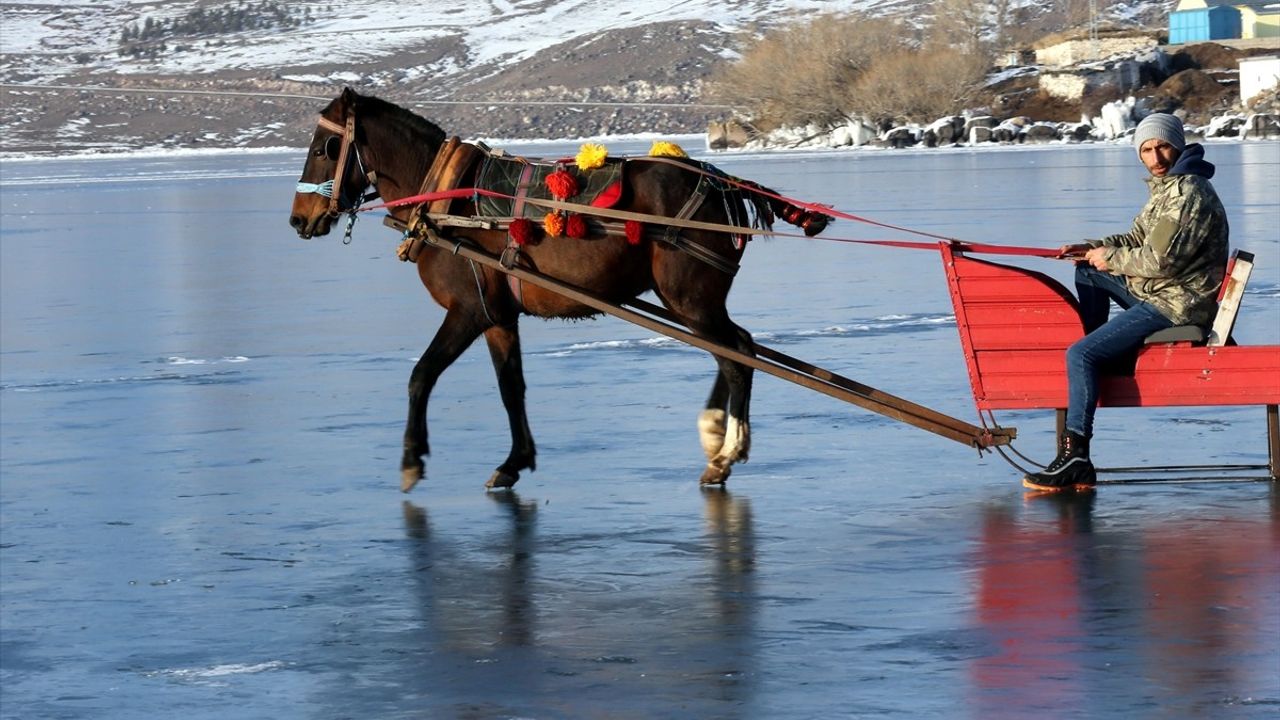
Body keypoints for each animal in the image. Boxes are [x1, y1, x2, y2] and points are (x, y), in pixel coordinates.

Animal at [288, 82, 829, 486]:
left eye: (323, 148)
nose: (299, 219)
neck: (443, 197)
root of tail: (721, 183)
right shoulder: (498, 315)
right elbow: (512, 388)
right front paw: (515, 461)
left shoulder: (468, 309)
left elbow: (421, 375)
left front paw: (411, 458)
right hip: (690, 300)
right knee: (737, 347)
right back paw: (715, 433)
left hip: (690, 297)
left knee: (736, 356)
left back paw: (725, 454)